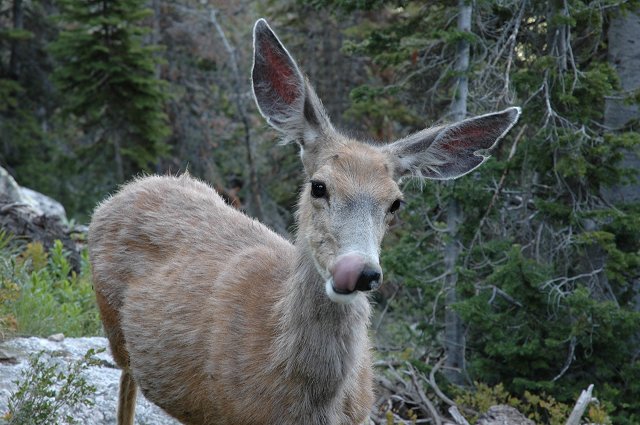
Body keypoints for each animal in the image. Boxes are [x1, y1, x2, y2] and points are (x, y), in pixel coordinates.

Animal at [88, 18, 521, 425]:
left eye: (396, 203)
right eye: (319, 186)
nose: (359, 271)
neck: (305, 400)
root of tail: (129, 187)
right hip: (113, 328)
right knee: (126, 382)